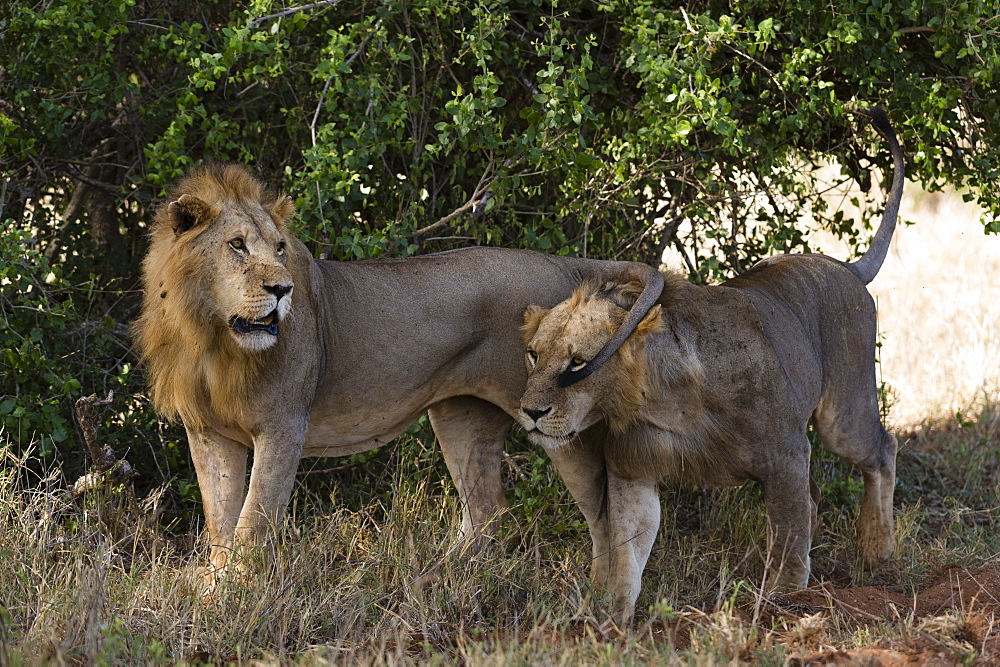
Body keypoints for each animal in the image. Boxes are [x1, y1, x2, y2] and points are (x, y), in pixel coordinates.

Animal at [133, 162, 664, 580]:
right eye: (237, 245)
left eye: (280, 248)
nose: (282, 289)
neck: (212, 338)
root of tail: (564, 264)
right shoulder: (208, 432)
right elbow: (219, 521)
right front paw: (213, 591)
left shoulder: (283, 425)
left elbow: (252, 521)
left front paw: (234, 596)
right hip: (461, 416)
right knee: (487, 510)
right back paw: (439, 577)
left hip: (559, 422)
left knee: (604, 511)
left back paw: (600, 595)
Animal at [516, 109, 908, 628]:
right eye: (534, 354)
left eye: (577, 362)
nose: (530, 412)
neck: (661, 401)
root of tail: (843, 265)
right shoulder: (633, 469)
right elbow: (627, 553)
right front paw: (612, 622)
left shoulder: (785, 454)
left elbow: (788, 541)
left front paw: (782, 604)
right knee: (818, 495)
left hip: (842, 415)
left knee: (882, 449)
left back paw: (876, 548)